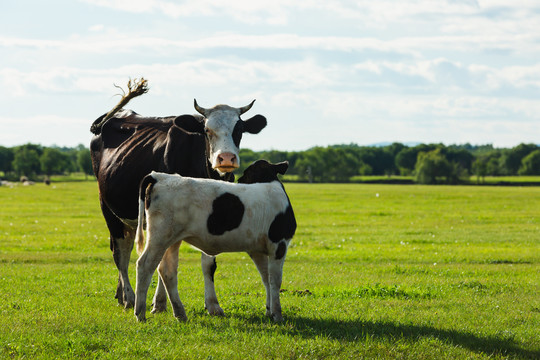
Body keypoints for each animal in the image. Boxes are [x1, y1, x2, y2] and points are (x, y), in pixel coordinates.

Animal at [90, 97, 268, 314]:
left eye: (239, 129)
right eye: (207, 130)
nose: (226, 158)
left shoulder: (211, 219)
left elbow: (208, 262)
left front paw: (213, 305)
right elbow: (162, 263)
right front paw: (159, 303)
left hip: (129, 220)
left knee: (126, 248)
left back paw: (120, 294)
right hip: (108, 209)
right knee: (120, 255)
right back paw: (130, 298)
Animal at [134, 161, 296, 324]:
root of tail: (159, 176)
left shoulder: (257, 250)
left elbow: (266, 278)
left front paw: (269, 311)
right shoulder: (279, 244)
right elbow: (275, 280)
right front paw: (277, 314)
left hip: (172, 239)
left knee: (167, 270)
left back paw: (180, 313)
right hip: (159, 236)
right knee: (145, 265)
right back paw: (140, 313)